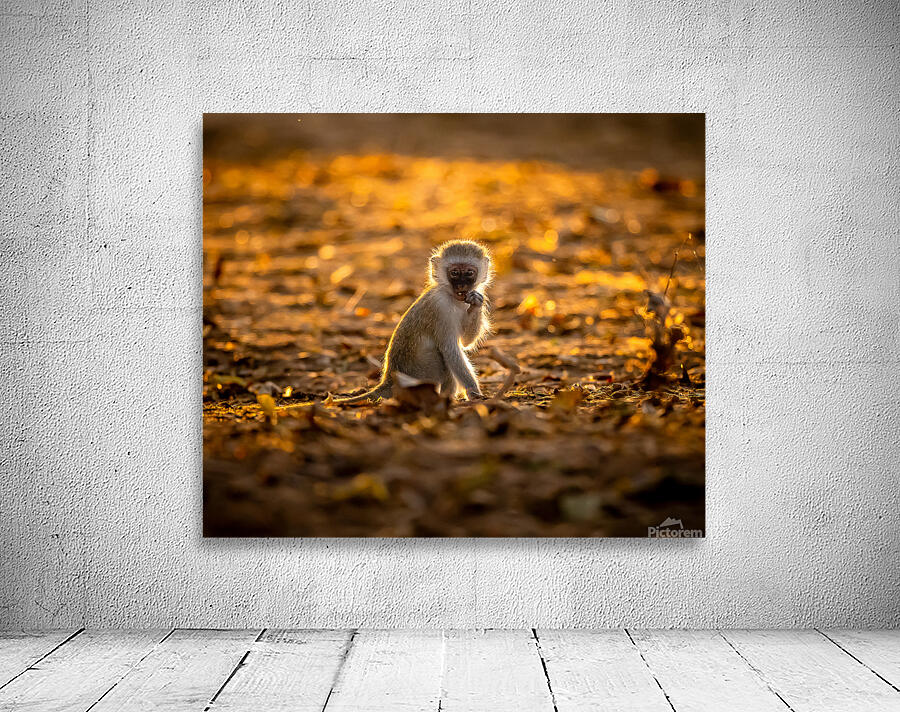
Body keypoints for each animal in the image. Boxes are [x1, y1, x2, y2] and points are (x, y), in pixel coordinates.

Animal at [334, 240, 492, 404]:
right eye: (454, 273)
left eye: (469, 273)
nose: (462, 286)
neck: (451, 297)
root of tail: (389, 380)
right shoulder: (440, 307)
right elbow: (451, 350)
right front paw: (473, 392)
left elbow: (466, 342)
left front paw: (476, 303)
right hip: (420, 372)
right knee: (441, 355)